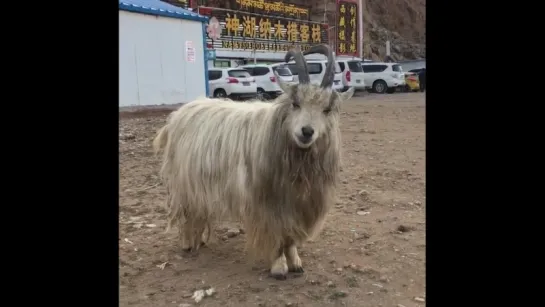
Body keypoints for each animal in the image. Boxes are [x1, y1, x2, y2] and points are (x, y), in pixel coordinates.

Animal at [154, 44, 356, 280]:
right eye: (295, 104)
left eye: (327, 109)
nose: (306, 132)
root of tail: (178, 115)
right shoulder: (267, 201)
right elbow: (276, 233)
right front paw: (278, 267)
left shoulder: (295, 202)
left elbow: (290, 236)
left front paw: (295, 262)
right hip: (183, 182)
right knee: (187, 212)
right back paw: (187, 244)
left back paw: (200, 240)